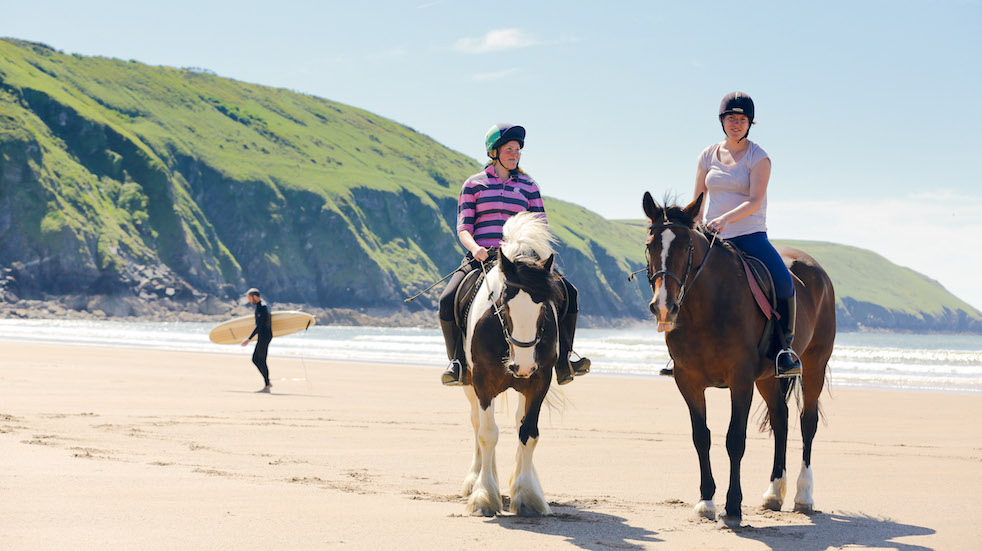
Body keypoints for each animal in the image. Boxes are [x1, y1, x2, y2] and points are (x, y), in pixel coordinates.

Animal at [460, 211, 560, 516]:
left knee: (517, 422)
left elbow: (528, 433)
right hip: (469, 383)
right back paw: (476, 479)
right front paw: (484, 495)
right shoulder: (482, 382)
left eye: (544, 307)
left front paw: (527, 495)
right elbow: (487, 434)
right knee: (477, 422)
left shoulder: (539, 381)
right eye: (503, 303)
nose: (522, 366)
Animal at [644, 192, 836, 528]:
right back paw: (774, 493)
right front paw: (706, 501)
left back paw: (804, 495)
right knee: (781, 419)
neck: (706, 306)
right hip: (768, 378)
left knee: (806, 423)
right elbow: (701, 437)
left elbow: (735, 439)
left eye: (686, 246)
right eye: (649, 245)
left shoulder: (741, 379)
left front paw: (733, 506)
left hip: (815, 365)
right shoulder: (688, 381)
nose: (663, 307)